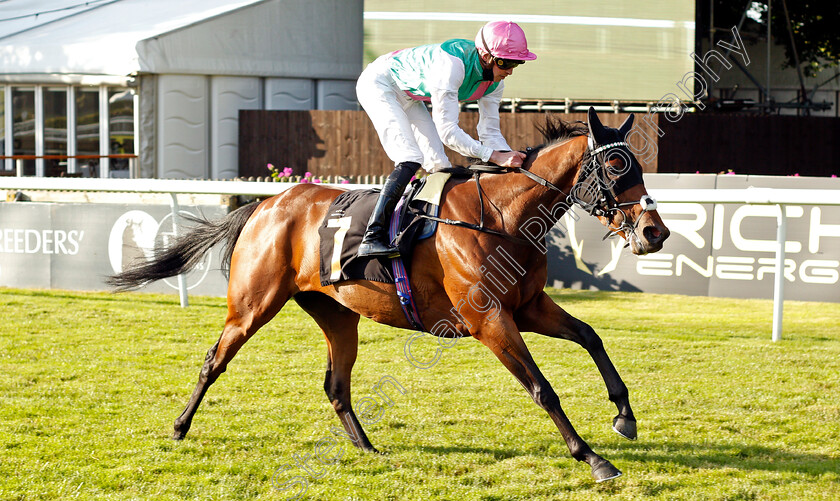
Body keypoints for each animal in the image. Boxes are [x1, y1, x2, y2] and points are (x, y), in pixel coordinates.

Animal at [108, 107, 668, 482]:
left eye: (639, 167)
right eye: (616, 169)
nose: (655, 232)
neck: (503, 217)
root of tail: (266, 204)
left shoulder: (529, 307)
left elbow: (591, 336)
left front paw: (624, 415)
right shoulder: (489, 319)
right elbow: (542, 387)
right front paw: (592, 457)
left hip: (338, 315)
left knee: (336, 385)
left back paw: (368, 448)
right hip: (252, 306)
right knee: (214, 360)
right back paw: (179, 427)